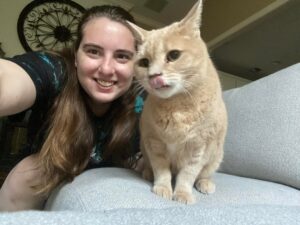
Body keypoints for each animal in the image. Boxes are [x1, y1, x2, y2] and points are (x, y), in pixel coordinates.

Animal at [130, 0, 226, 204]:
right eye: (144, 63)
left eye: (173, 55)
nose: (154, 76)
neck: (177, 106)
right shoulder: (154, 143)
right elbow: (162, 170)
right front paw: (162, 188)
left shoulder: (198, 148)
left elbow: (187, 175)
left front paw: (182, 193)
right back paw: (147, 173)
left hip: (215, 157)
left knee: (204, 174)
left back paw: (205, 183)